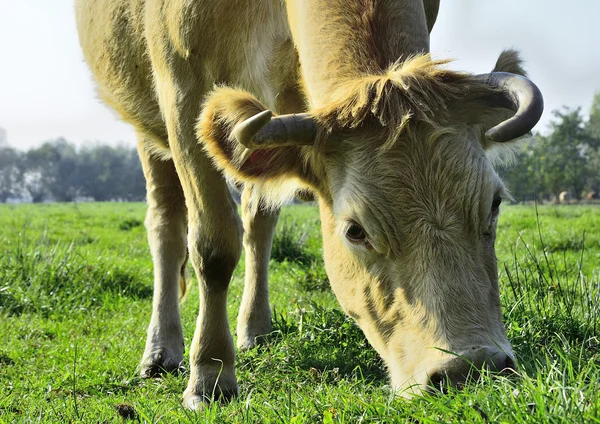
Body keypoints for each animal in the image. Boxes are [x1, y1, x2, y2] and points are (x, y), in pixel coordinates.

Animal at [75, 0, 544, 410]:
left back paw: (255, 328)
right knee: (166, 228)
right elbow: (212, 247)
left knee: (257, 220)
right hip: (148, 128)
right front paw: (210, 376)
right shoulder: (183, 89)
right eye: (355, 230)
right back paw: (160, 350)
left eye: (494, 203)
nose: (472, 368)